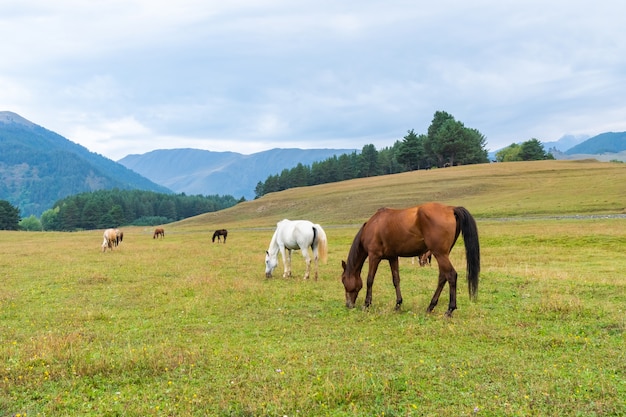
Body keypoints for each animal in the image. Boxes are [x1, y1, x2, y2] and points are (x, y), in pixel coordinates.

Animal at [342, 202, 478, 316]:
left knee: (451, 275)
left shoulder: (374, 256)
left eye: (343, 281)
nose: (348, 305)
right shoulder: (392, 257)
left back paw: (450, 309)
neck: (373, 225)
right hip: (442, 254)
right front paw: (398, 304)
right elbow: (396, 280)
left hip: (440, 254)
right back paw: (430, 306)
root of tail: (450, 208)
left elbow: (370, 280)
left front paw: (366, 304)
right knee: (442, 277)